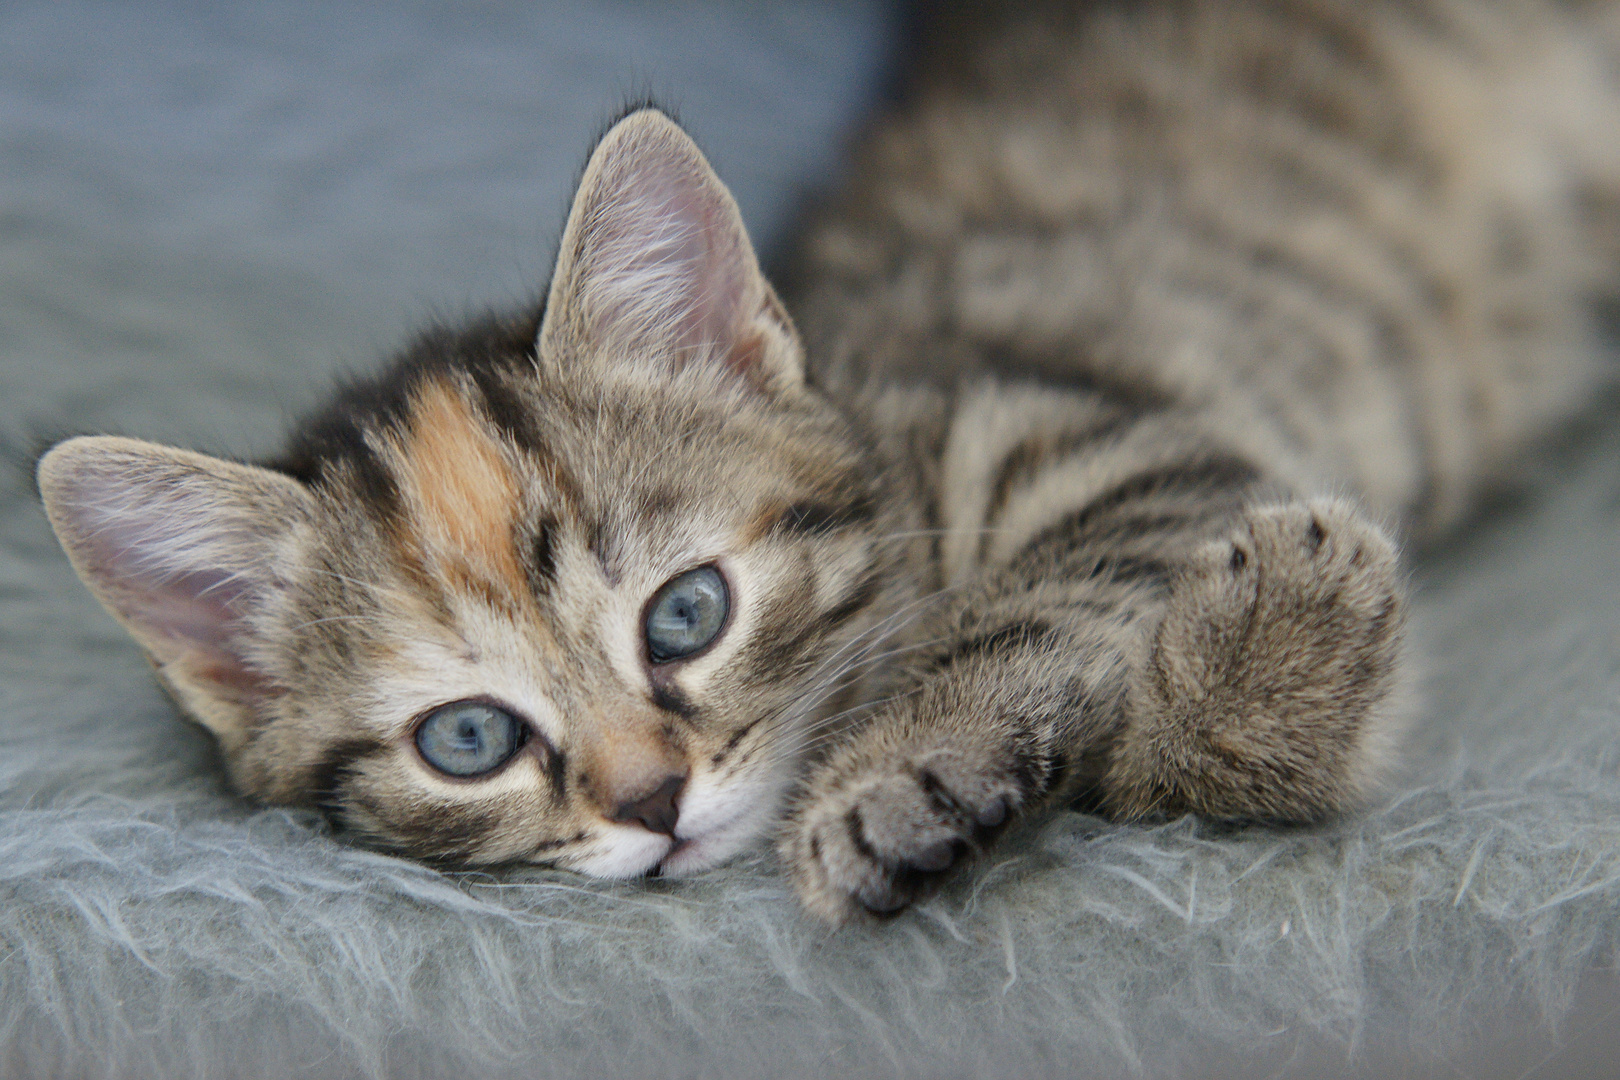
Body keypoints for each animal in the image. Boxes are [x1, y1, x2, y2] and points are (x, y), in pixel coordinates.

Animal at [34, 0, 1620, 919]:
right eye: (467, 740)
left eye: (688, 614)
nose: (650, 804)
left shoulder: (1117, 435)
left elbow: (1049, 618)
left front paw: (909, 769)